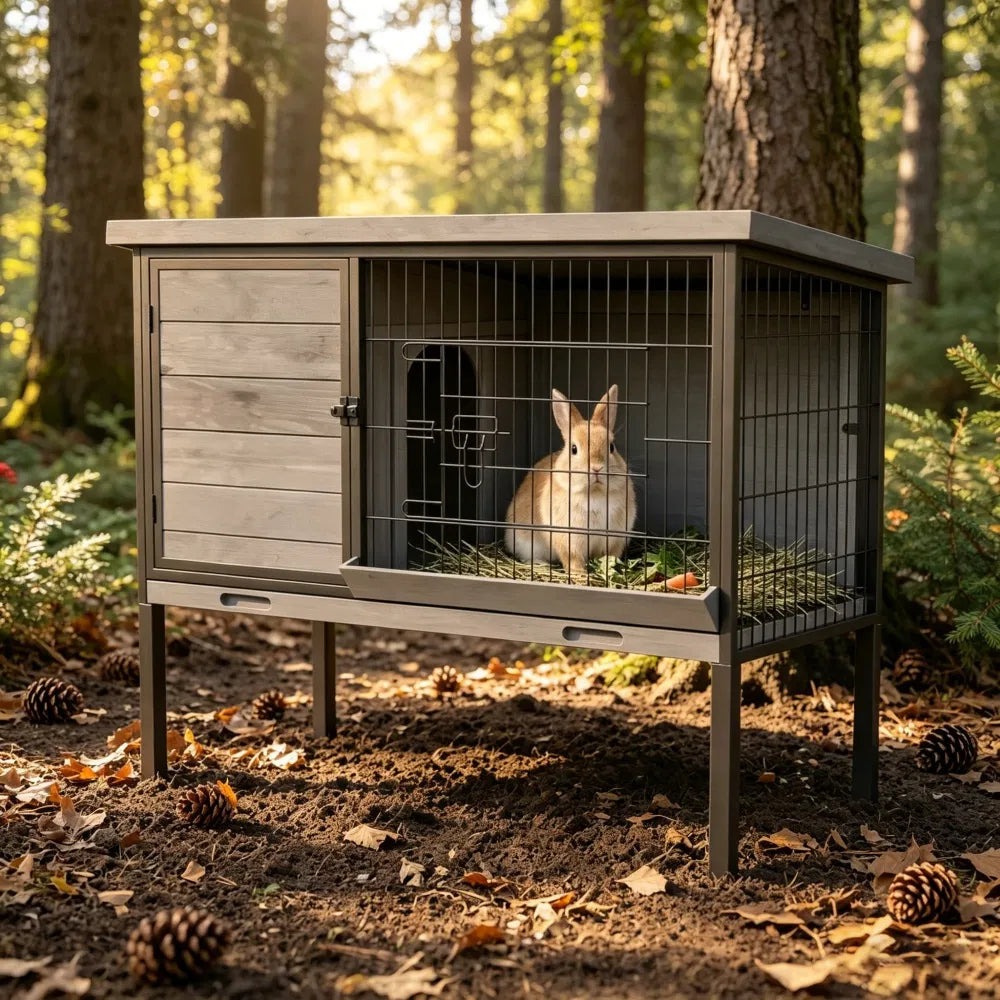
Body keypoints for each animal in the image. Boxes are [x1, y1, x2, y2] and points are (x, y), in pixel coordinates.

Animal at [504, 385, 636, 576]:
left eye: (612, 447)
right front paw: (580, 575)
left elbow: (610, 556)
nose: (596, 468)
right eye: (574, 449)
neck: (593, 492)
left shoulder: (615, 539)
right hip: (524, 543)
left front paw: (609, 570)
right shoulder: (569, 541)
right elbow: (573, 560)